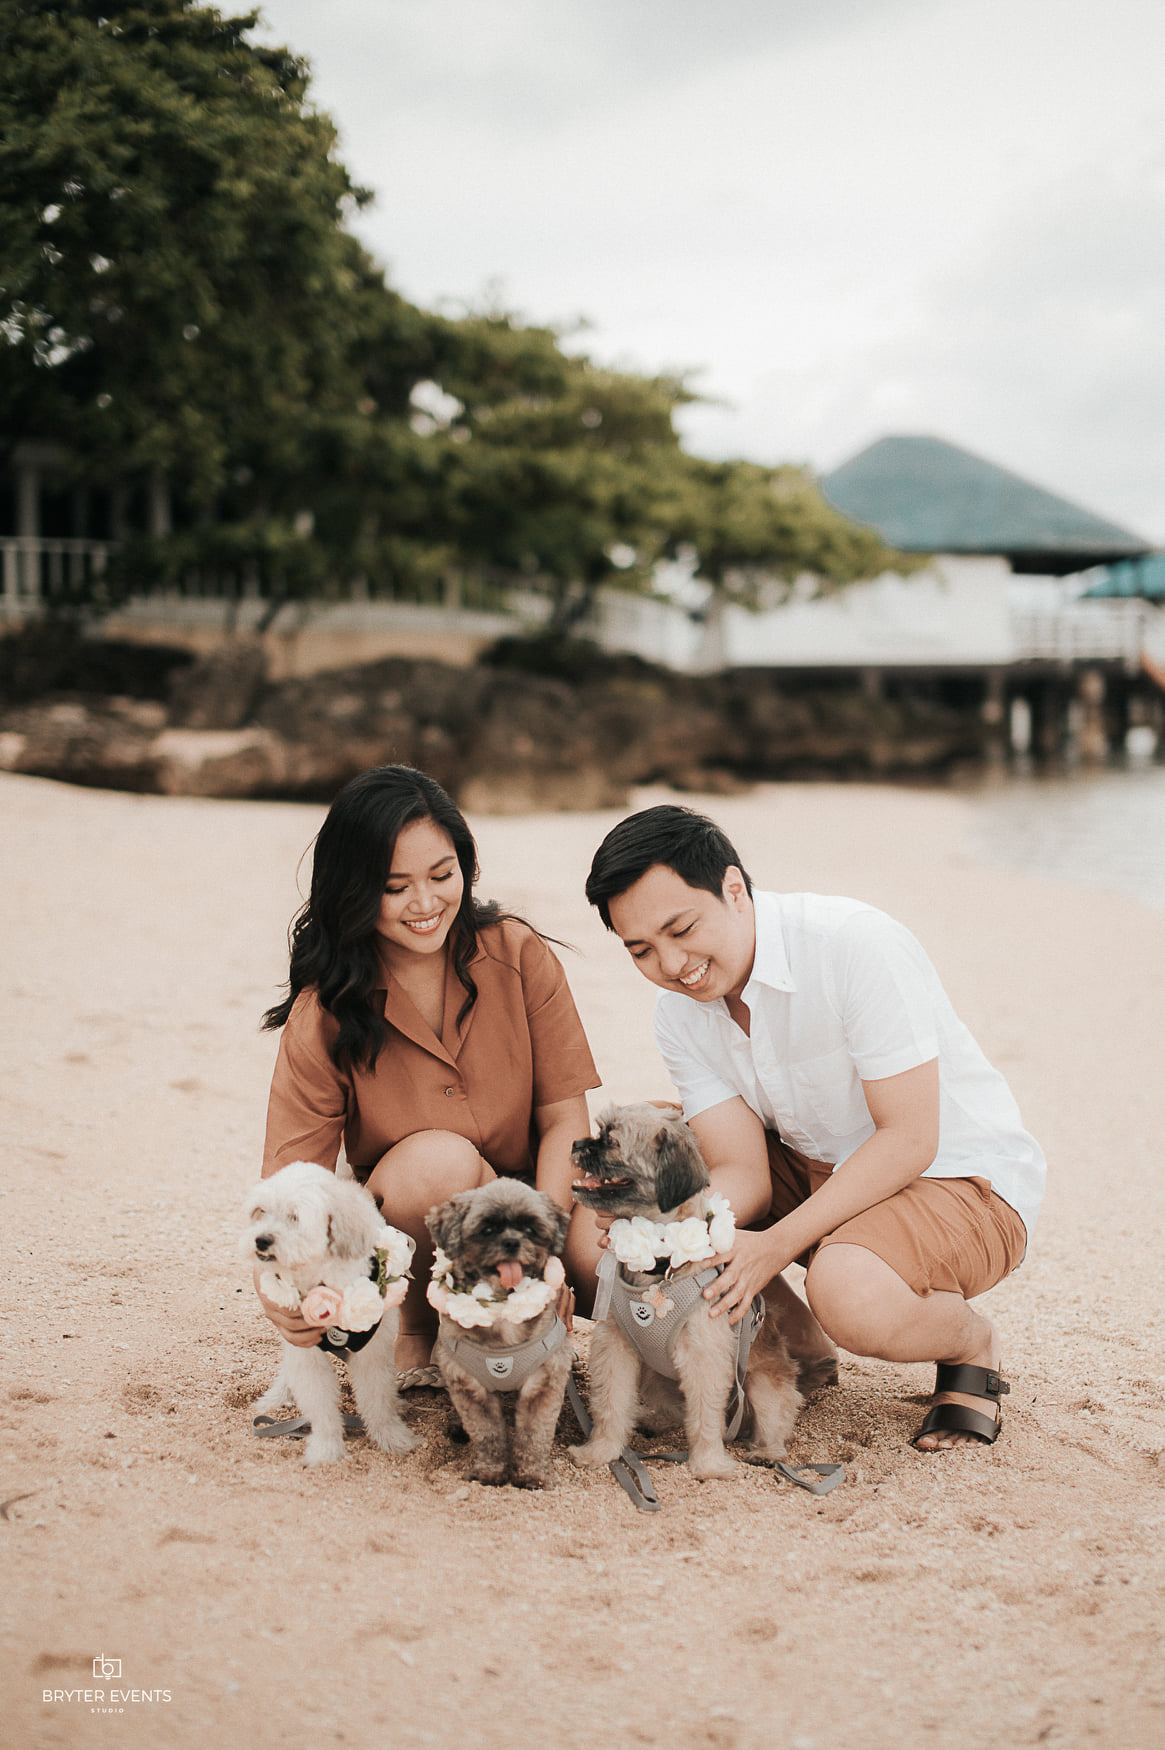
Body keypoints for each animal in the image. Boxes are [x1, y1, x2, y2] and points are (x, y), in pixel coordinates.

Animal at [240, 1160, 419, 1467]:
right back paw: (277, 1396)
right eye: (260, 1212)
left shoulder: (373, 1353)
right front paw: (326, 1448)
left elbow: (378, 1399)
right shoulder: (304, 1350)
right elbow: (320, 1405)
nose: (260, 1240)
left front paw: (391, 1437)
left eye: (295, 1217)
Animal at [426, 1180, 572, 1490]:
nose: (512, 1242)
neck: (503, 1310)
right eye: (488, 1229)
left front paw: (532, 1475)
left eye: (530, 1228)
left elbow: (534, 1435)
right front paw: (490, 1472)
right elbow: (488, 1434)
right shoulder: (470, 1389)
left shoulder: (542, 1385)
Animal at [568, 1103, 803, 1481]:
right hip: (653, 1377)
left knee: (771, 1426)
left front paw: (708, 1464)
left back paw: (766, 1453)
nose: (577, 1143)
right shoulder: (615, 1347)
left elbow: (706, 1417)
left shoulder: (705, 1357)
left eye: (612, 1140)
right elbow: (610, 1404)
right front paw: (601, 1451)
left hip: (762, 1385)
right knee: (673, 1414)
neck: (659, 1264)